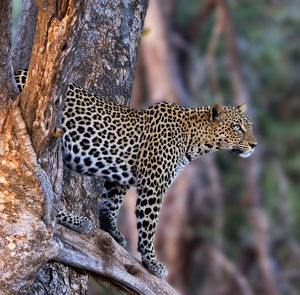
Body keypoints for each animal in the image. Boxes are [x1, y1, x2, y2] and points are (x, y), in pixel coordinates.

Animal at [14, 70, 258, 278]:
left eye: (249, 126)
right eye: (237, 128)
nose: (254, 145)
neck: (195, 141)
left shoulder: (120, 177)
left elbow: (111, 203)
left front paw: (112, 231)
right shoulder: (153, 186)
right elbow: (149, 226)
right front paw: (152, 262)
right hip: (54, 140)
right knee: (45, 192)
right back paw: (76, 220)